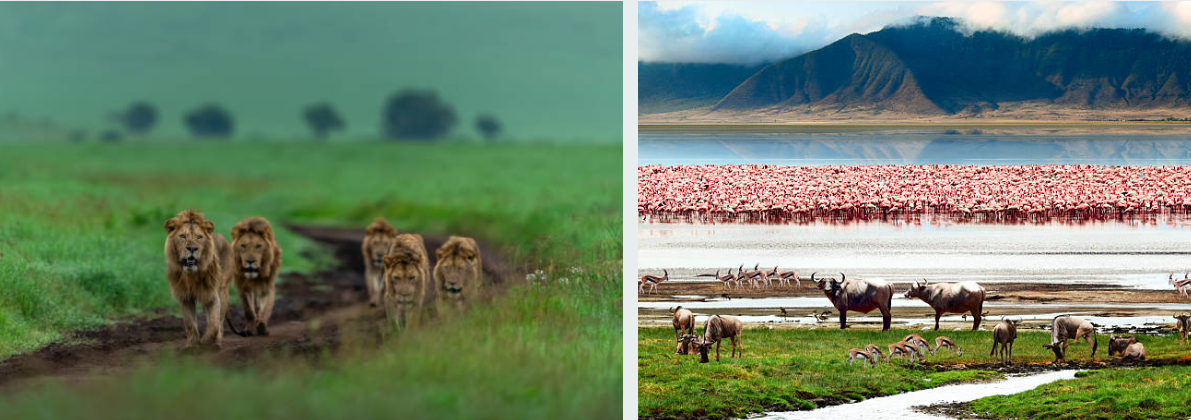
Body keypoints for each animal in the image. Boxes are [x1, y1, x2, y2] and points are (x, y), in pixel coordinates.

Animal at [164, 209, 234, 349]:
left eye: (199, 237)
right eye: (183, 236)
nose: (192, 248)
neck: (191, 275)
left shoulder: (212, 294)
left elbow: (214, 323)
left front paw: (206, 341)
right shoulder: (185, 296)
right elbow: (190, 323)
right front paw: (191, 345)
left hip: (223, 290)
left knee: (220, 321)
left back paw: (217, 343)